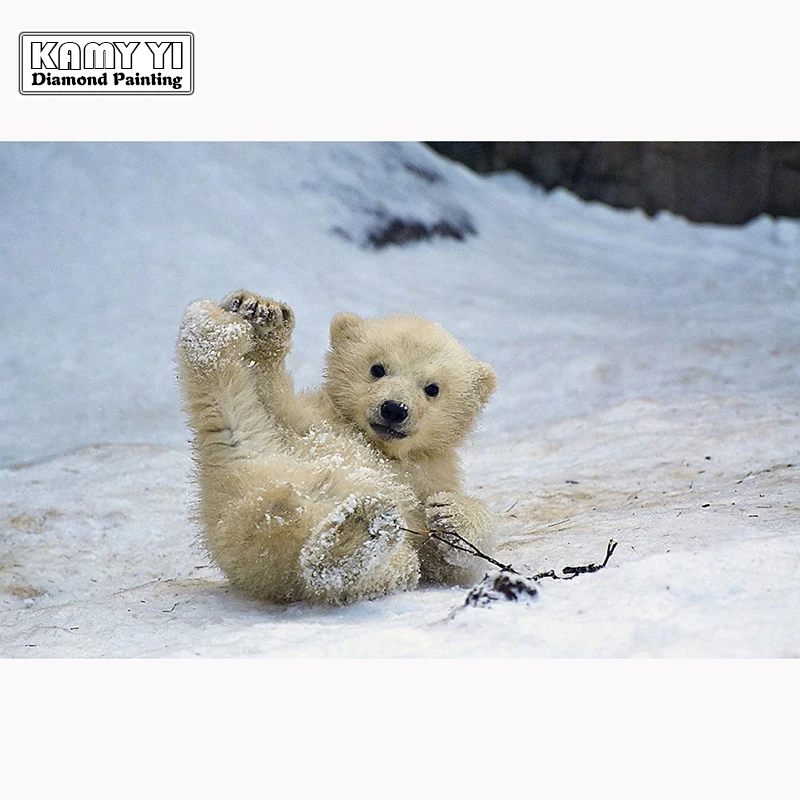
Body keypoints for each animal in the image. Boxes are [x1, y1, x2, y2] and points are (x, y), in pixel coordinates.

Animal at [176, 289, 497, 605]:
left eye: (432, 388)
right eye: (377, 369)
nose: (394, 409)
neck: (380, 446)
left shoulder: (430, 473)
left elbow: (446, 563)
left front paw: (449, 512)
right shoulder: (309, 420)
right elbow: (271, 397)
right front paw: (263, 313)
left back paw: (356, 534)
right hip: (252, 459)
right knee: (231, 411)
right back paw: (211, 328)